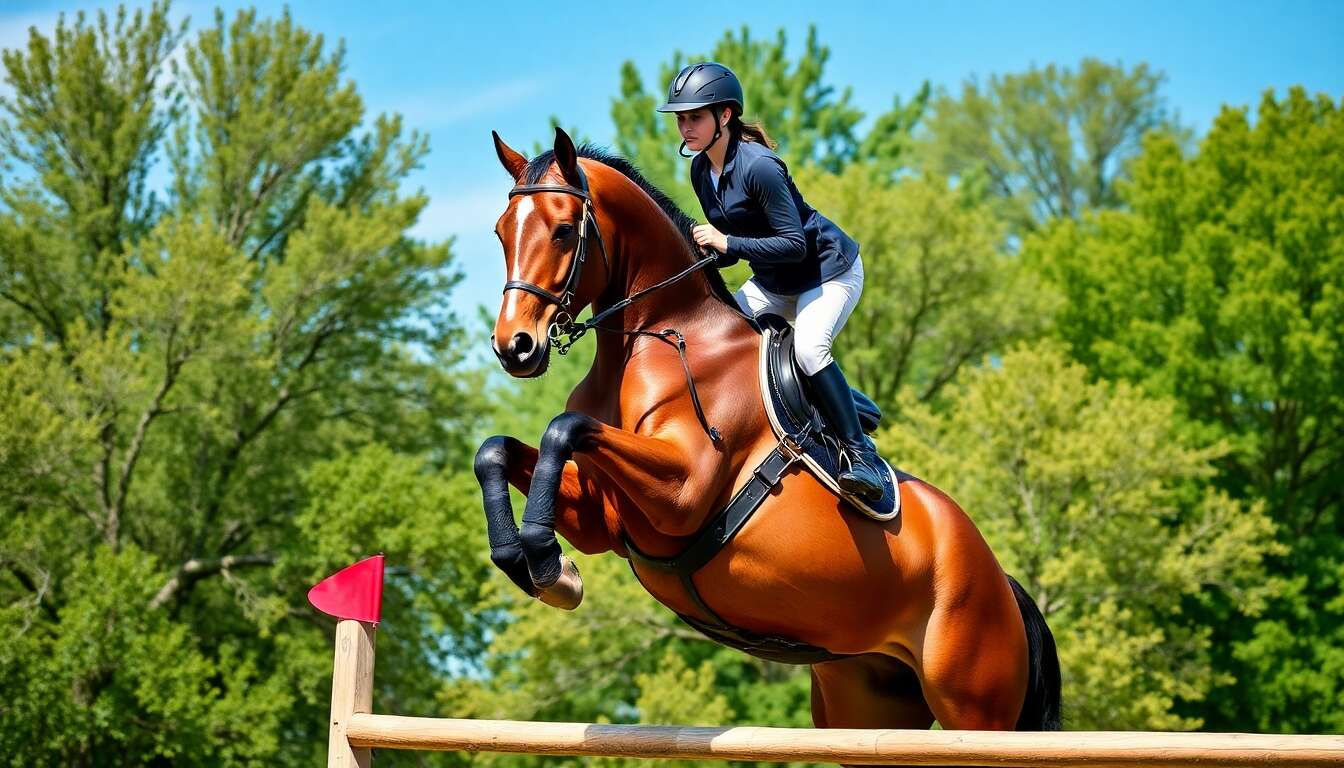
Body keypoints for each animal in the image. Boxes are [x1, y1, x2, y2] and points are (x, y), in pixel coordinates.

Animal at [474, 126, 1061, 734]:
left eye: (565, 230)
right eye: (501, 232)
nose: (515, 347)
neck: (657, 338)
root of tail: (1001, 580)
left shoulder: (681, 495)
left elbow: (562, 428)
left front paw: (547, 562)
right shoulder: (604, 516)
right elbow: (494, 451)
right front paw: (529, 563)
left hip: (975, 704)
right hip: (865, 698)